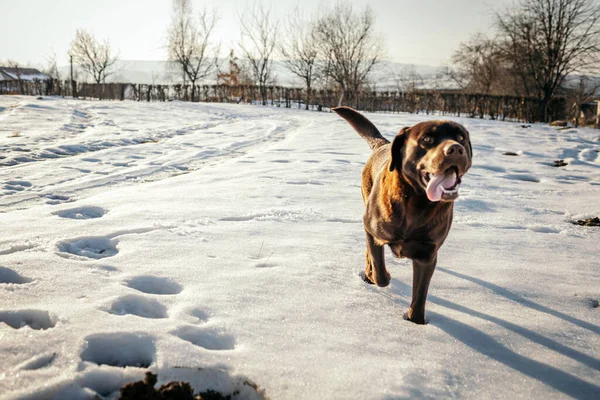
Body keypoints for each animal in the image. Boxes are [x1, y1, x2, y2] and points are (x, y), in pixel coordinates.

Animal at [330, 107, 472, 324]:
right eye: (427, 139)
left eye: (461, 138)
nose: (455, 149)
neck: (416, 205)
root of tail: (384, 144)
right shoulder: (373, 231)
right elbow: (379, 270)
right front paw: (381, 276)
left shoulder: (427, 254)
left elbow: (420, 294)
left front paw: (415, 321)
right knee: (369, 254)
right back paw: (368, 275)